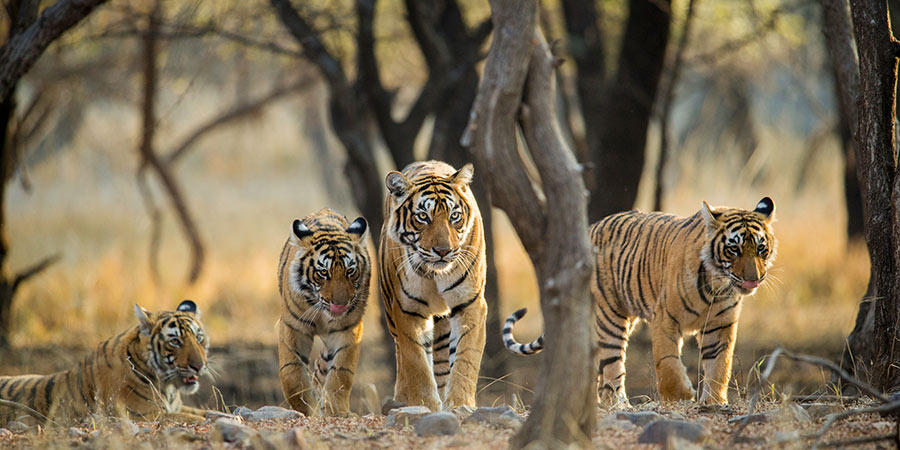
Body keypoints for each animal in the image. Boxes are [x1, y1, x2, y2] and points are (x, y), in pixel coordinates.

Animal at [0, 300, 211, 426]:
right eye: (175, 341)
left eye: (199, 338)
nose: (199, 366)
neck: (168, 387)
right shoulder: (146, 415)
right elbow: (193, 418)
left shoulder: (175, 407)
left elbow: (207, 412)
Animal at [277, 209, 369, 416]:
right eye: (323, 273)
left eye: (350, 271)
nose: (341, 305)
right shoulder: (292, 327)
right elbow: (291, 373)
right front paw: (307, 408)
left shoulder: (348, 329)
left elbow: (341, 372)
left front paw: (335, 410)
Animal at [379, 161, 487, 411]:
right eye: (422, 217)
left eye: (454, 216)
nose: (443, 251)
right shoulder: (407, 310)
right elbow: (417, 363)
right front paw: (425, 404)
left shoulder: (470, 303)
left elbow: (465, 357)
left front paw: (460, 404)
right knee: (402, 356)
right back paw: (401, 399)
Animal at [504, 197, 777, 407]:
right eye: (734, 249)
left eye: (761, 249)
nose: (754, 279)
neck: (716, 285)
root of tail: (590, 228)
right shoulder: (665, 319)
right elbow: (667, 363)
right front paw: (680, 396)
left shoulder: (720, 326)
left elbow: (720, 365)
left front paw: (714, 402)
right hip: (610, 317)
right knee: (612, 366)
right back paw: (619, 405)